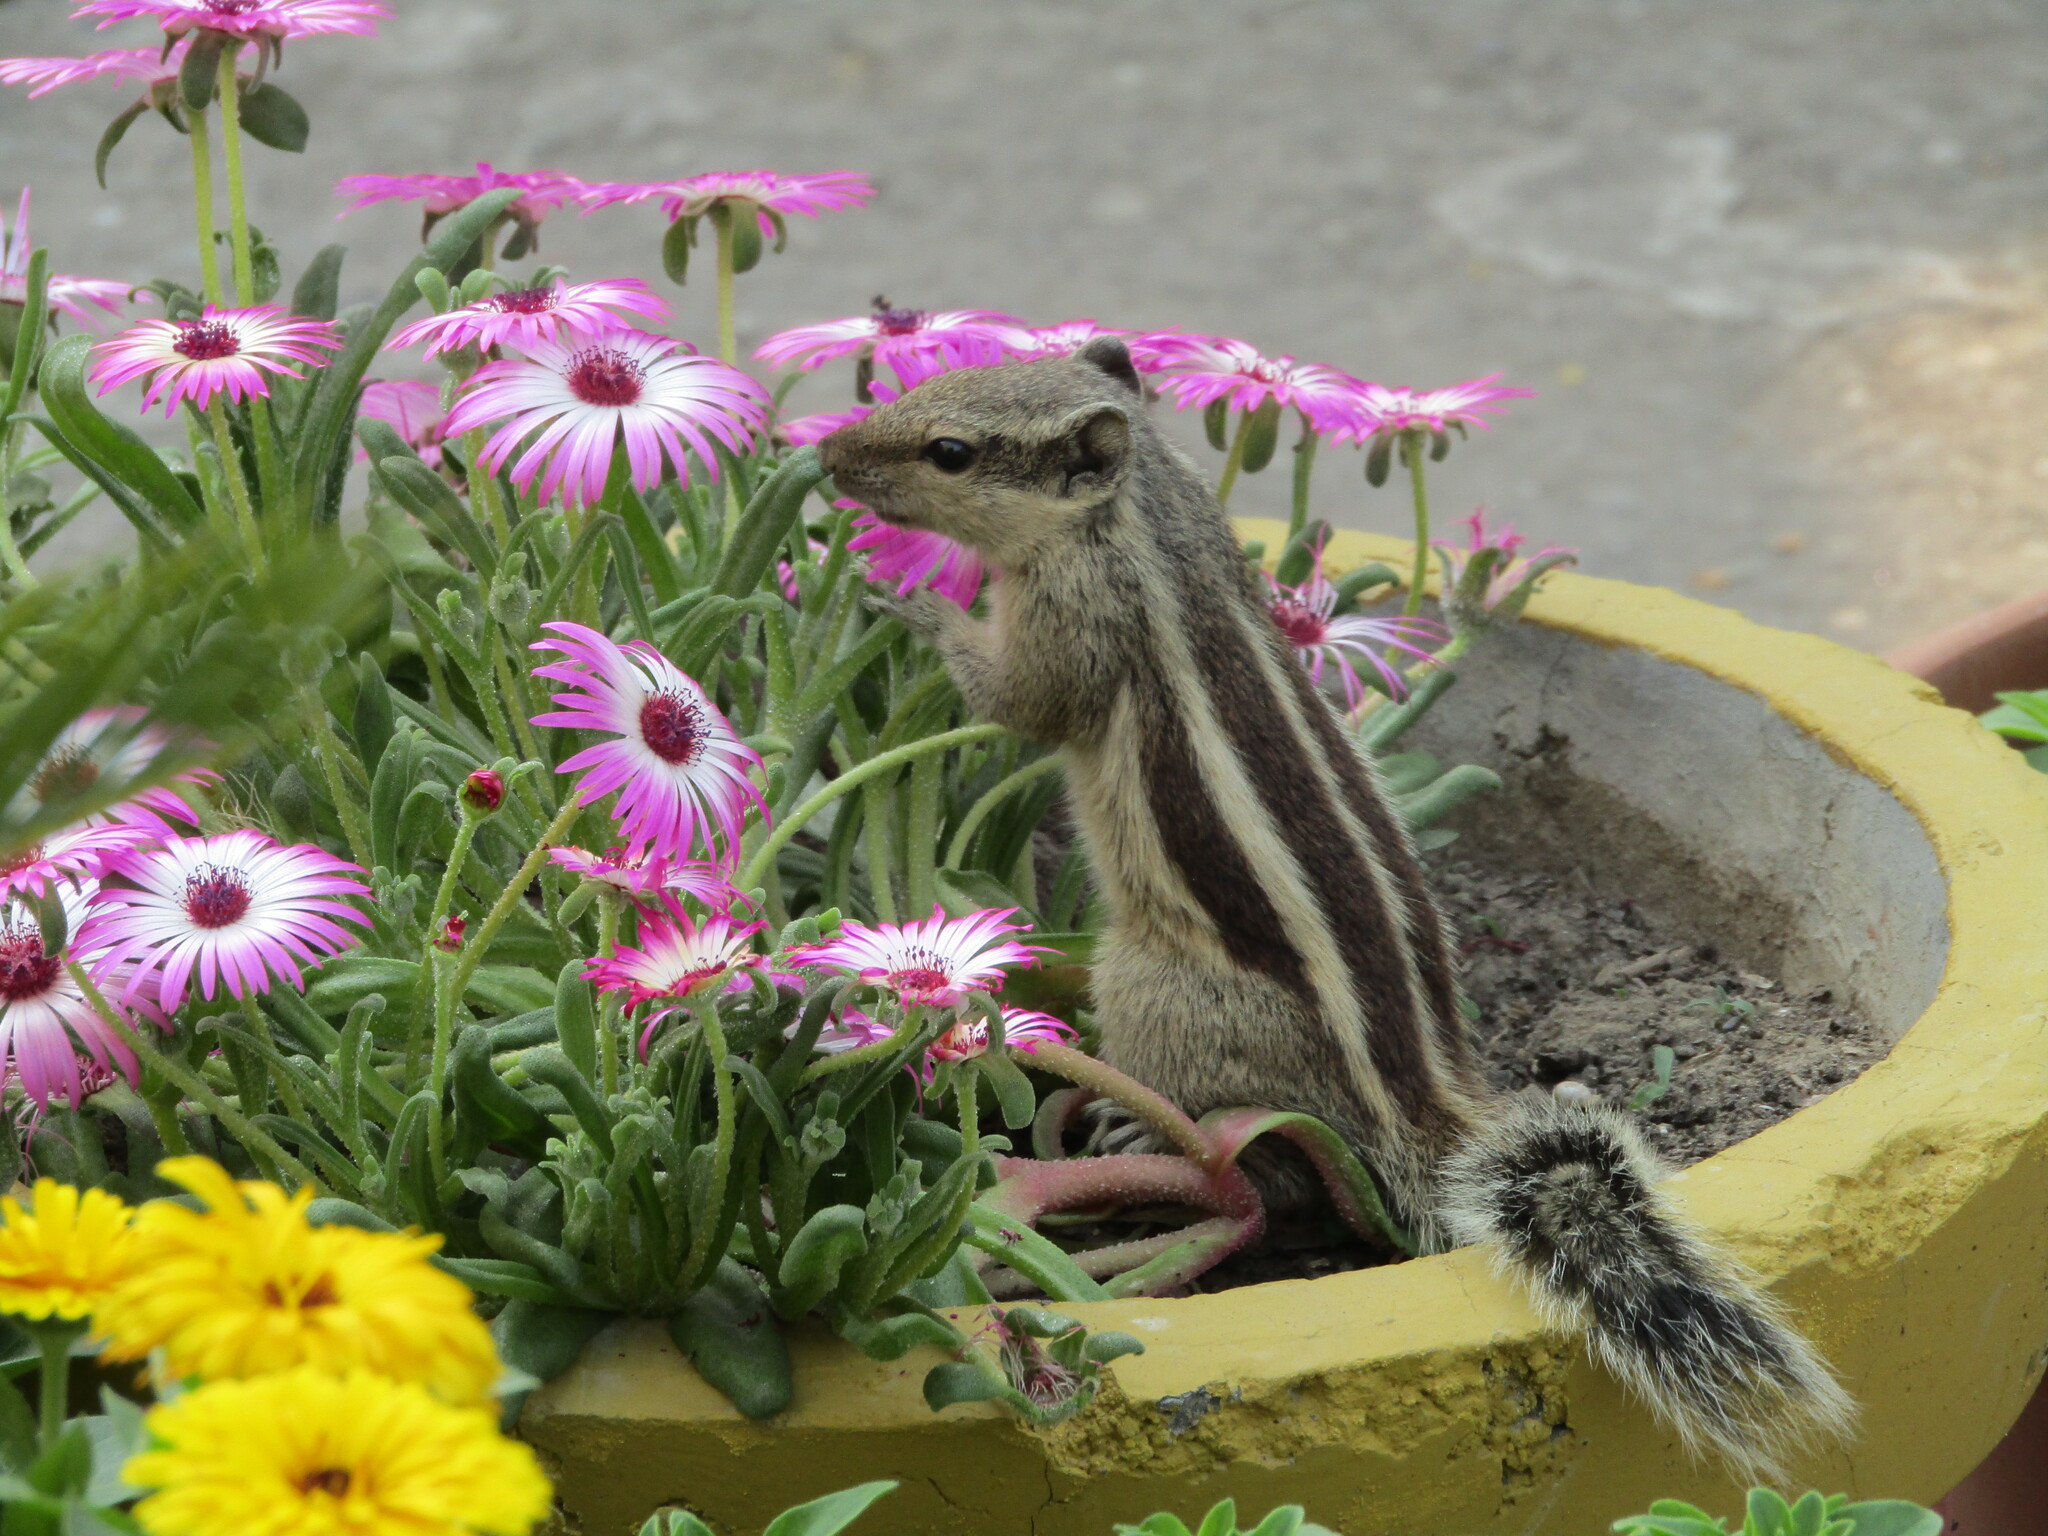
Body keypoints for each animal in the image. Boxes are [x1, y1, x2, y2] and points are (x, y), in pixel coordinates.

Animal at [815, 339, 1859, 1482]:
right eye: (926, 395)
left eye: (948, 451)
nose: (827, 457)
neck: (1145, 520)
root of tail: (1417, 1102)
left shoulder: (1075, 622)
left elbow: (1017, 701)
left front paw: (903, 601)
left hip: (1150, 989)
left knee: (1266, 1178)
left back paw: (1133, 1122)